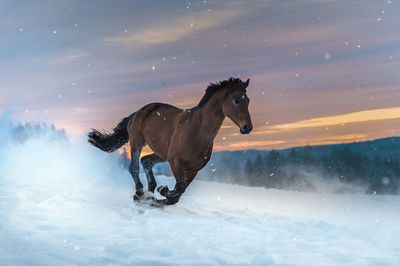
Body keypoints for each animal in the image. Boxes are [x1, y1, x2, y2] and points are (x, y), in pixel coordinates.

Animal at [89, 77, 255, 206]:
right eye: (236, 100)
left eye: (248, 101)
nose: (247, 127)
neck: (197, 130)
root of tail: (137, 112)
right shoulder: (175, 161)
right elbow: (179, 187)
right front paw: (161, 191)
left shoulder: (194, 169)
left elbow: (178, 194)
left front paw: (158, 196)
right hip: (138, 142)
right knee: (134, 167)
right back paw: (140, 192)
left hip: (161, 153)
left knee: (146, 161)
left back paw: (148, 193)